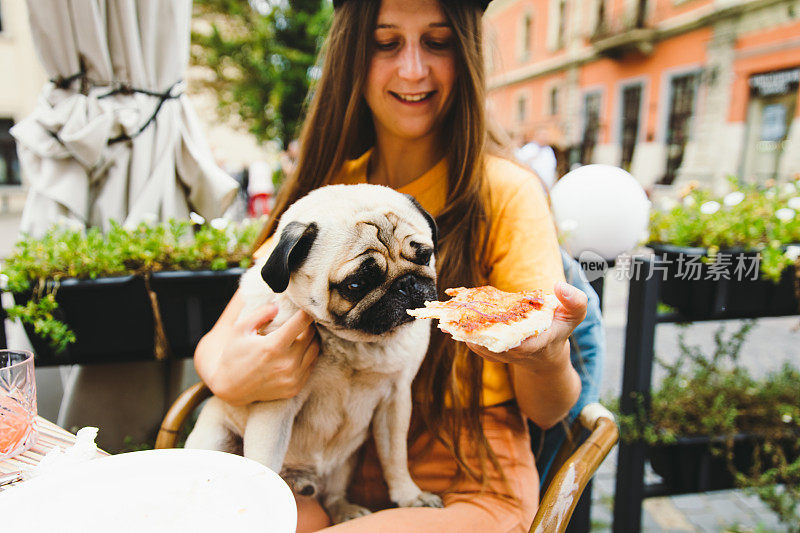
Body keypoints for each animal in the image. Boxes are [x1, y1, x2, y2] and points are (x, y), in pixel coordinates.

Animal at [187, 185, 444, 520]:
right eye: (356, 284)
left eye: (424, 256)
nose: (407, 284)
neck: (354, 345)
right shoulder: (276, 407)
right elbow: (264, 462)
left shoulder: (395, 400)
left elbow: (395, 457)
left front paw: (409, 496)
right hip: (215, 436)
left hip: (345, 463)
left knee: (333, 492)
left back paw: (344, 509)